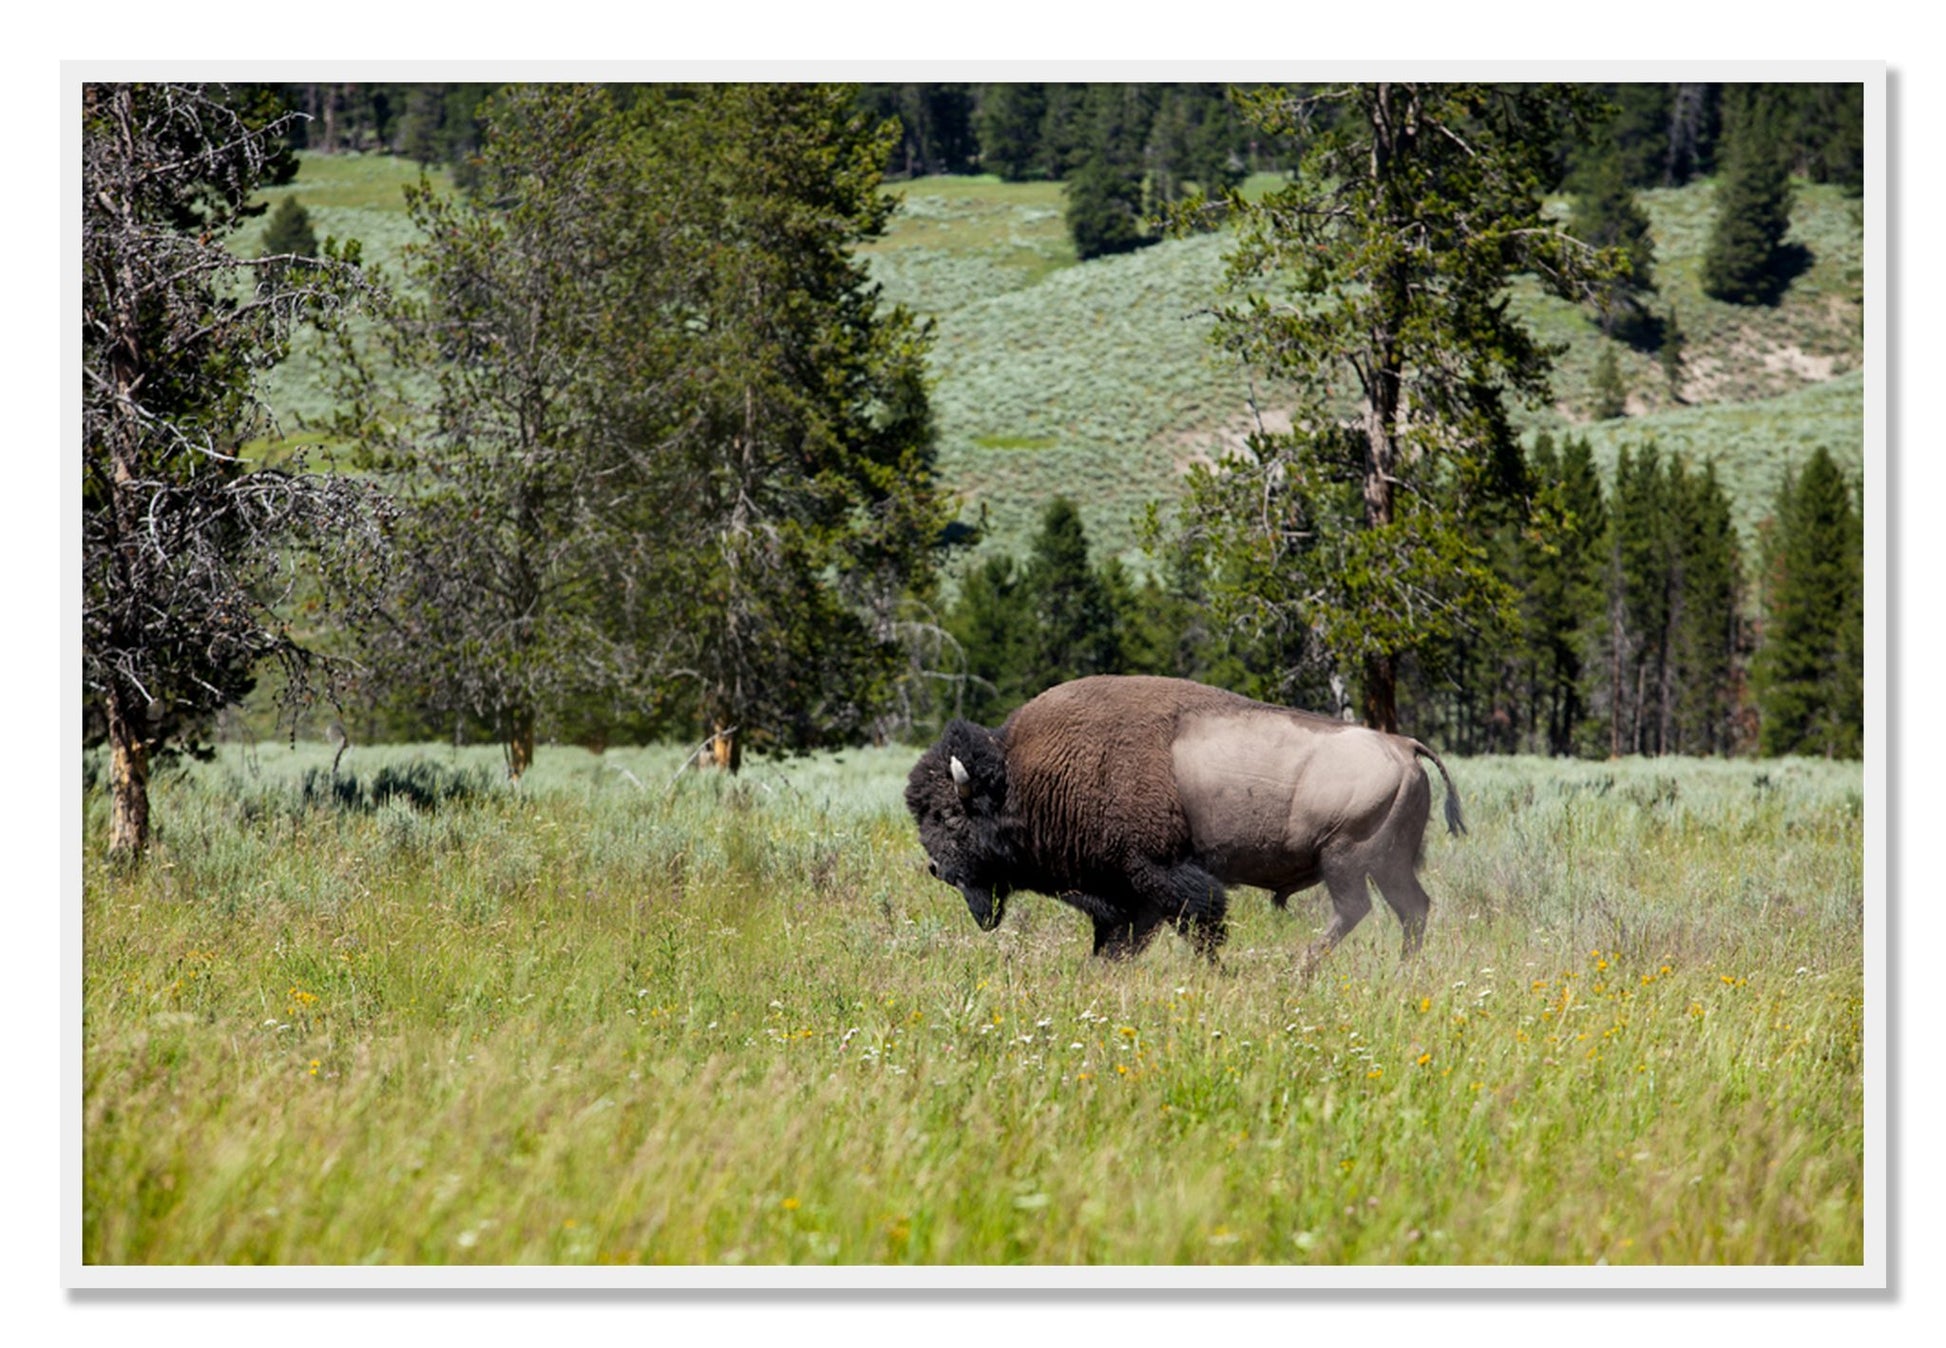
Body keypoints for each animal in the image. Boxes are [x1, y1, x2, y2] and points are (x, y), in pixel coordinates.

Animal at [905, 675, 1465, 972]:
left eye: (949, 815)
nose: (937, 868)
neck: (1023, 776)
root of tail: (1403, 745)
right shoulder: (1127, 894)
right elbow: (1121, 939)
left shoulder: (1159, 874)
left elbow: (1200, 924)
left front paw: (1216, 971)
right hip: (1388, 864)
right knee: (1412, 909)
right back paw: (1402, 969)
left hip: (1345, 858)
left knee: (1356, 910)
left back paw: (1300, 968)